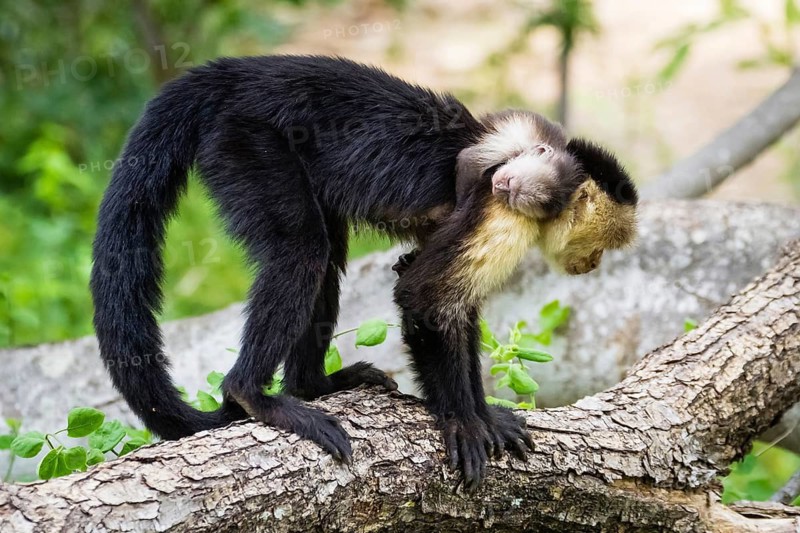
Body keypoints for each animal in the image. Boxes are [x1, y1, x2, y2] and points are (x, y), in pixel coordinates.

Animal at [90, 55, 637, 491]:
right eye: (601, 246)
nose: (592, 264)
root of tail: (242, 72)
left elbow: (455, 305)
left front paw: (487, 415)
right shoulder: (505, 210)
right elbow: (424, 298)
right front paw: (462, 421)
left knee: (326, 256)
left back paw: (311, 386)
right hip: (244, 138)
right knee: (303, 252)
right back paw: (254, 395)